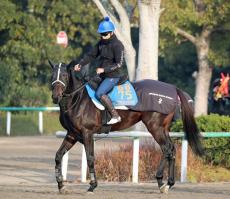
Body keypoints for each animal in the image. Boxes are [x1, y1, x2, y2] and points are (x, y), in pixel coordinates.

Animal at [49, 61, 203, 194]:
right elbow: (58, 156)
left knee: (166, 149)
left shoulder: (87, 133)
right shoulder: (72, 134)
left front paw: (92, 186)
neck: (78, 99)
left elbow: (90, 158)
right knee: (171, 149)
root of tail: (173, 89)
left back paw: (161, 181)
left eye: (64, 75)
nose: (55, 96)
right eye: (53, 75)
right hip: (163, 129)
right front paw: (61, 185)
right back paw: (168, 184)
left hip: (155, 127)